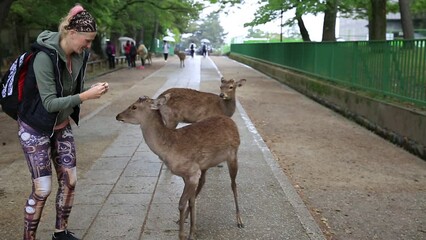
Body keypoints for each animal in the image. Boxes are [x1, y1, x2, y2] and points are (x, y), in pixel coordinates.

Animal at [115, 94, 243, 240]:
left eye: (134, 107)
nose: (118, 115)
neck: (169, 149)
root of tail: (231, 121)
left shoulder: (192, 172)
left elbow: (182, 203)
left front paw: (182, 235)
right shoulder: (186, 175)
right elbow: (191, 202)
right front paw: (192, 232)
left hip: (233, 155)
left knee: (233, 184)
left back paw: (239, 220)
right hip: (206, 165)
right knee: (204, 182)